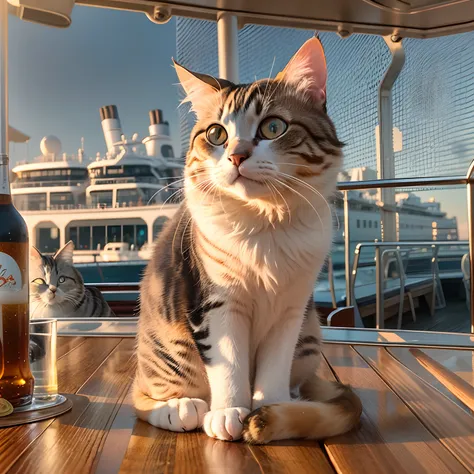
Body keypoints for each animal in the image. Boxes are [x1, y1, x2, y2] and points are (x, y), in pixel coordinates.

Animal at [131, 38, 362, 444]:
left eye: (273, 127)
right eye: (216, 134)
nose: (237, 155)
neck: (266, 223)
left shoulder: (292, 308)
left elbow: (274, 366)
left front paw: (270, 407)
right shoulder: (217, 302)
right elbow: (229, 365)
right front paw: (229, 411)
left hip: (309, 337)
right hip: (167, 348)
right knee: (140, 394)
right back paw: (181, 407)